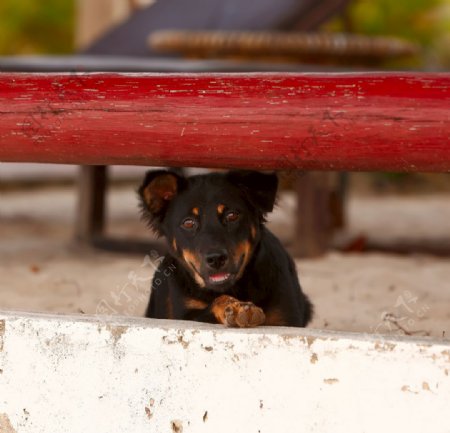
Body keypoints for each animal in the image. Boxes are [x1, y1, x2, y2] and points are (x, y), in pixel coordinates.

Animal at [139, 170, 312, 326]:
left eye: (232, 215)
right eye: (188, 223)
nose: (216, 259)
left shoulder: (285, 318)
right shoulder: (184, 315)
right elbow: (215, 304)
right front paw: (236, 308)